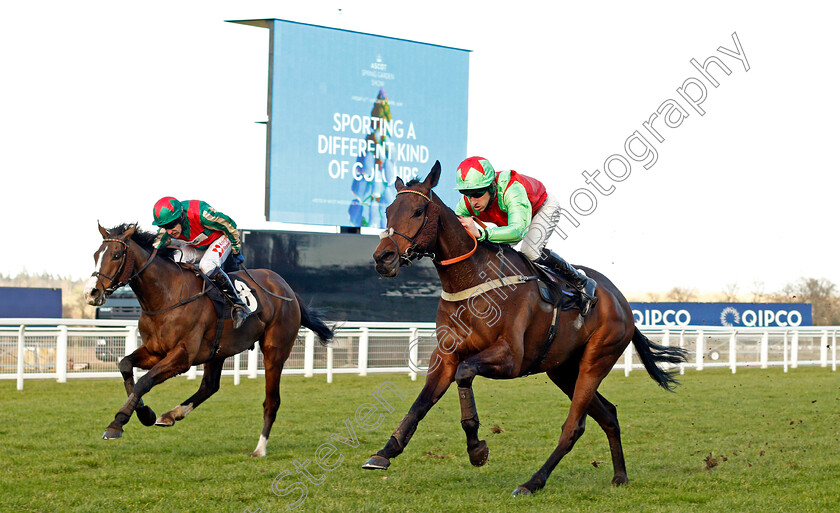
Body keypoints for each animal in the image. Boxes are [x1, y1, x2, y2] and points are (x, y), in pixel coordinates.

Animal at [83, 222, 334, 454]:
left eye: (117, 255)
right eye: (96, 255)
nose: (91, 293)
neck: (166, 296)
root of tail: (286, 287)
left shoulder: (182, 356)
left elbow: (145, 381)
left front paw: (119, 422)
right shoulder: (155, 351)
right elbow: (126, 365)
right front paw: (144, 414)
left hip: (275, 350)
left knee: (272, 400)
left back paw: (260, 448)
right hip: (218, 351)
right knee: (210, 385)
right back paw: (172, 414)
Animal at [364, 162, 684, 494]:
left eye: (417, 211)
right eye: (388, 211)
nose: (383, 258)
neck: (472, 280)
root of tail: (622, 301)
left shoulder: (511, 359)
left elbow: (465, 374)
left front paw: (476, 449)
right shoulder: (445, 356)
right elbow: (420, 403)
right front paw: (385, 452)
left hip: (596, 360)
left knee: (574, 426)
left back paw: (533, 482)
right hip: (563, 370)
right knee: (608, 414)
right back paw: (620, 476)